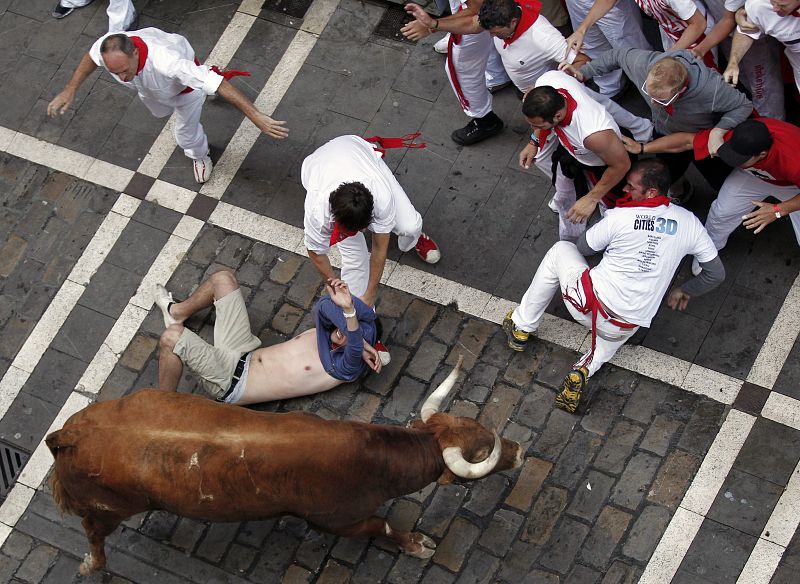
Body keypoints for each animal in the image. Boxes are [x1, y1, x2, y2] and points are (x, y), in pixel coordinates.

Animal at [47, 356, 520, 576]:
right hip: (107, 510)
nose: (516, 450)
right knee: (94, 535)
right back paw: (92, 564)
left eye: (479, 426)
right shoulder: (341, 520)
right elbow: (383, 526)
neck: (373, 457)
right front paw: (416, 545)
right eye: (482, 450)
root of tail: (68, 435)